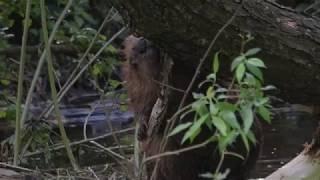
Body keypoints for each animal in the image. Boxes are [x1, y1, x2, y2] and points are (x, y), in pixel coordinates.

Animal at [119, 34, 262, 179]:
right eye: (134, 42)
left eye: (137, 35)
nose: (143, 40)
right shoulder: (139, 89)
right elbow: (143, 107)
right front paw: (141, 130)